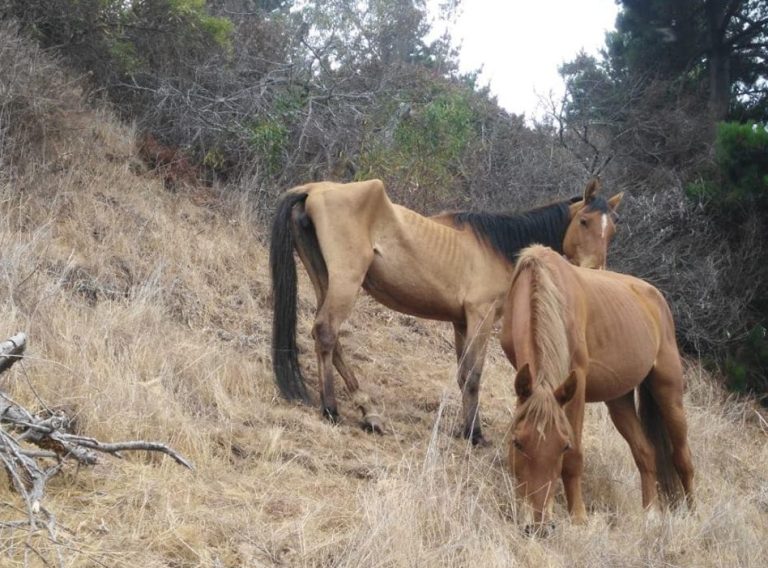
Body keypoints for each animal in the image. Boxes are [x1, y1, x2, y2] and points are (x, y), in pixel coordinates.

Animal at [270, 178, 623, 443]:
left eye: (612, 231)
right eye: (584, 221)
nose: (595, 271)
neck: (499, 246)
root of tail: (313, 189)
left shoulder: (461, 323)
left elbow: (463, 373)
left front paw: (468, 429)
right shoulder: (481, 318)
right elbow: (474, 375)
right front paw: (475, 435)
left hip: (324, 279)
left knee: (331, 340)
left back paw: (368, 412)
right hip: (345, 281)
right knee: (327, 333)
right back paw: (331, 409)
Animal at [500, 245, 694, 527]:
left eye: (563, 446)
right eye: (517, 443)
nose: (538, 524)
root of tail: (656, 297)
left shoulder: (577, 385)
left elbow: (575, 459)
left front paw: (578, 517)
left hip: (669, 392)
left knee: (682, 457)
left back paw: (694, 514)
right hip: (619, 399)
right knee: (646, 452)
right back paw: (650, 514)